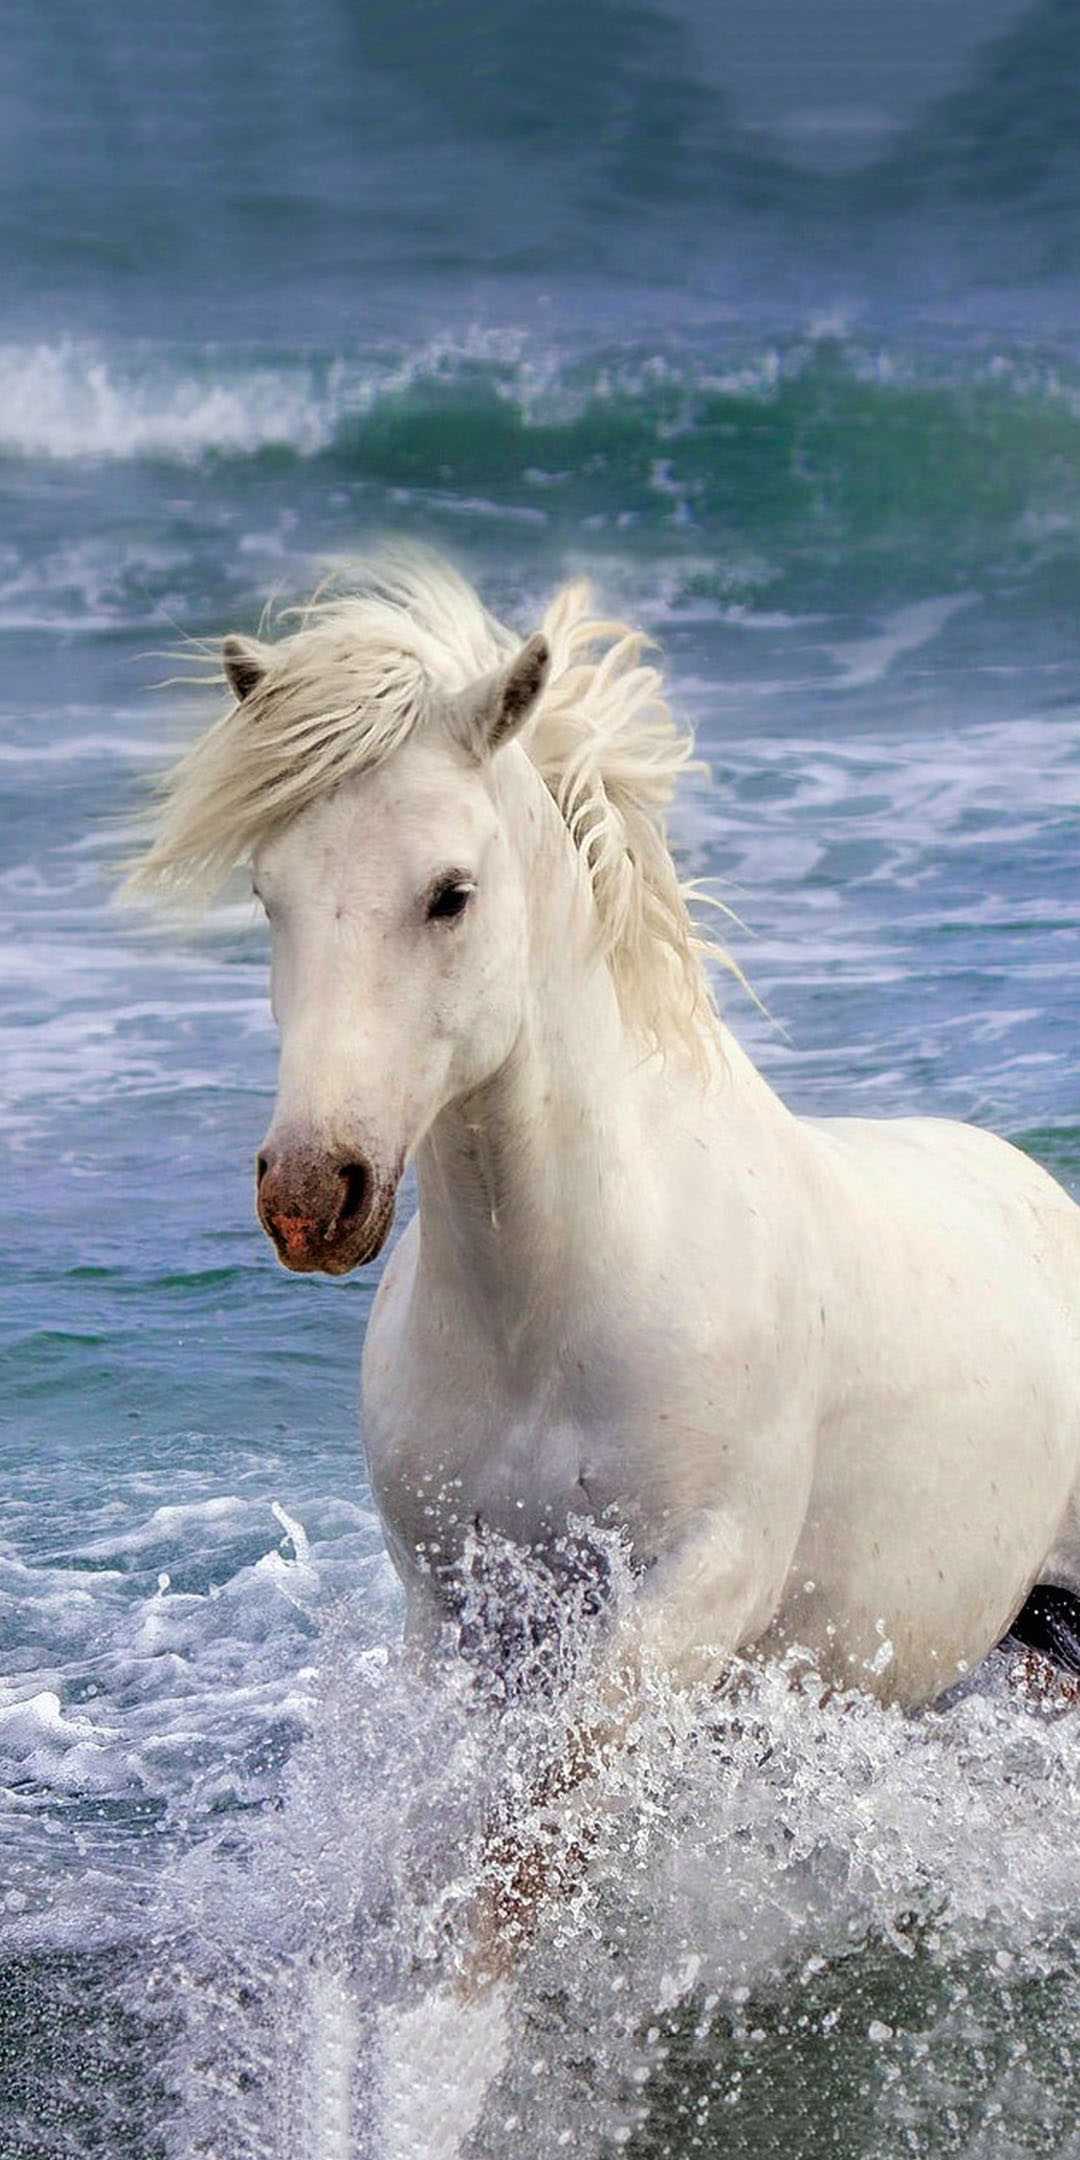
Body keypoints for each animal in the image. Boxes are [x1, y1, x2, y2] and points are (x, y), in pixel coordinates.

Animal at [127, 543, 1080, 1765]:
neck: (552, 1304)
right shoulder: (455, 1610)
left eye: (451, 894)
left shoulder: (701, 1586)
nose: (309, 1193)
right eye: (265, 895)